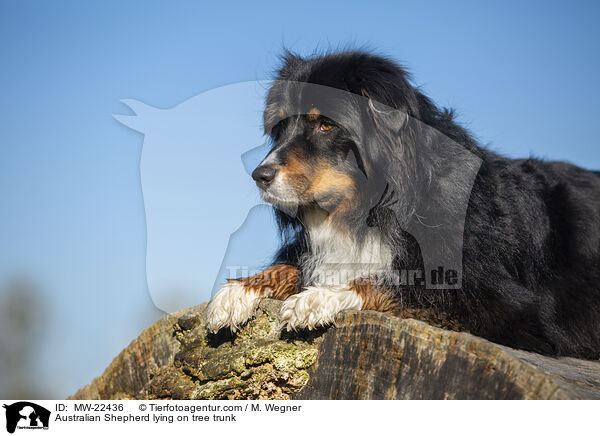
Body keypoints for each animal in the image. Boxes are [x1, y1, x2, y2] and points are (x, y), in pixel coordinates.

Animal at [206, 50, 600, 358]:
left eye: (325, 125)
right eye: (281, 127)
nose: (259, 175)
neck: (367, 210)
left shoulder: (510, 309)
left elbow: (392, 283)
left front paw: (318, 299)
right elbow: (291, 265)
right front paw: (235, 292)